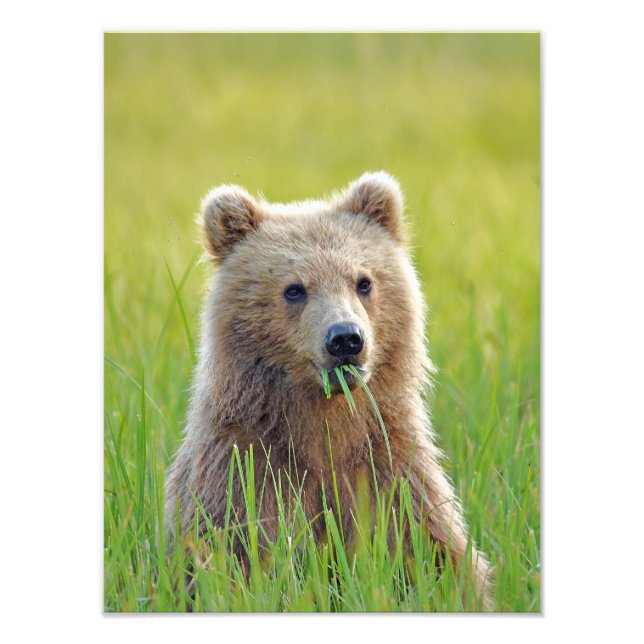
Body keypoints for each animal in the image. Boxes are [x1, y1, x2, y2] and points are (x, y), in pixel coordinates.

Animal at [164, 171, 493, 609]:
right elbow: (227, 556)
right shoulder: (244, 471)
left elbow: (432, 551)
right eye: (294, 288)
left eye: (363, 281)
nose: (345, 338)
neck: (324, 420)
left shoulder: (388, 469)